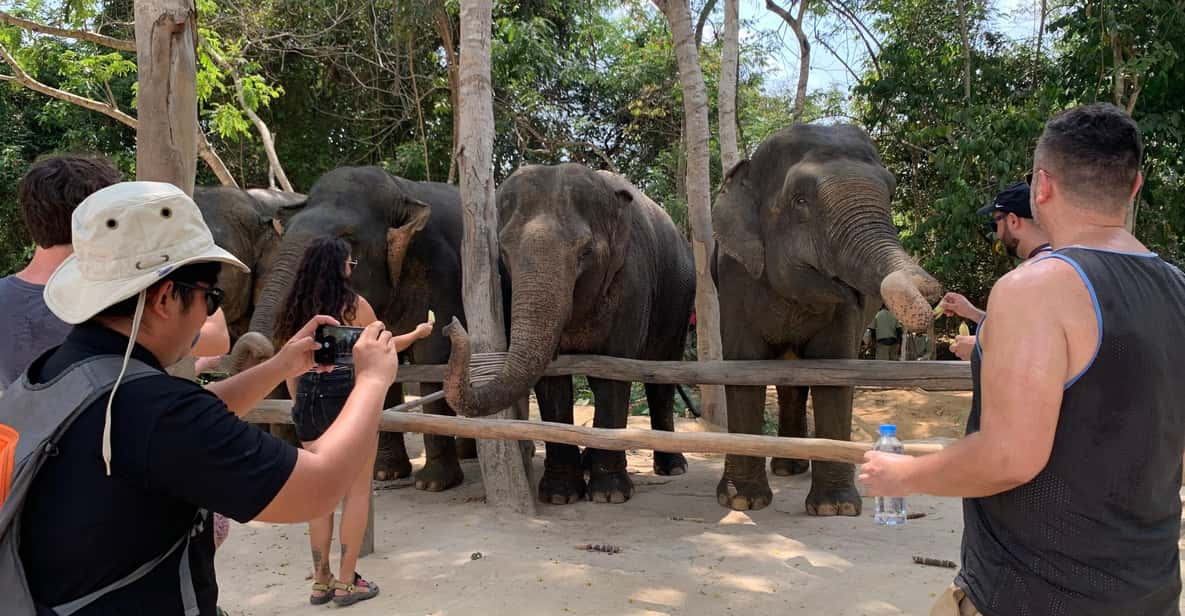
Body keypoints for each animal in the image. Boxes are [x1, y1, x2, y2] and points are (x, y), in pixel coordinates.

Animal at [240, 164, 476, 490]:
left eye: (347, 241)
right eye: (285, 236)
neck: (402, 190)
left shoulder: (442, 274)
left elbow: (433, 356)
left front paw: (433, 484)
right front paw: (386, 473)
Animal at [447, 163, 696, 504]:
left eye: (586, 252)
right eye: (504, 252)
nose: (450, 326)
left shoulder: (632, 284)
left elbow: (612, 376)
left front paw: (609, 495)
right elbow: (551, 383)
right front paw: (559, 495)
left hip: (679, 305)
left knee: (662, 376)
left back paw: (672, 467)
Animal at [706, 123, 938, 514]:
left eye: (891, 194)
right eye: (800, 200)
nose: (933, 293)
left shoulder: (847, 310)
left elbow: (834, 370)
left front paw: (835, 508)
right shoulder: (734, 278)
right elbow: (743, 370)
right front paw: (741, 502)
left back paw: (790, 467)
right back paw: (786, 468)